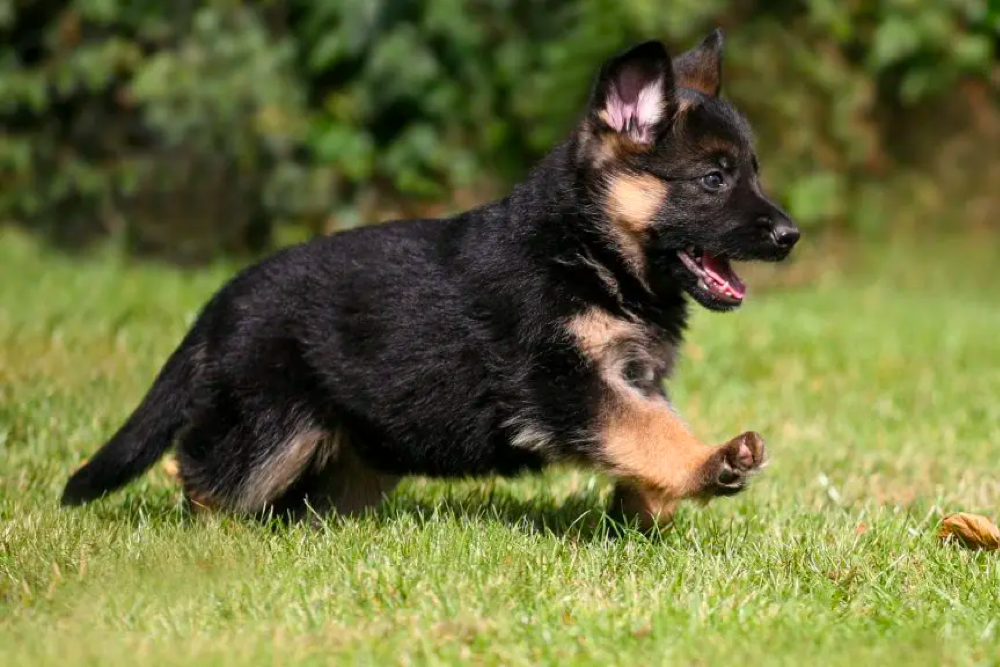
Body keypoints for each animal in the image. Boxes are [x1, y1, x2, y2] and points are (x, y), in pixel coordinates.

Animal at [62, 31, 796, 528]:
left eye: (752, 172)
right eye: (714, 178)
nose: (790, 235)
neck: (586, 251)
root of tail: (219, 303)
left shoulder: (630, 378)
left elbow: (649, 428)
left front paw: (650, 505)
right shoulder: (565, 383)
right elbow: (646, 431)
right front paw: (709, 464)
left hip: (355, 453)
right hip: (269, 427)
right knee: (205, 474)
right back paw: (212, 537)